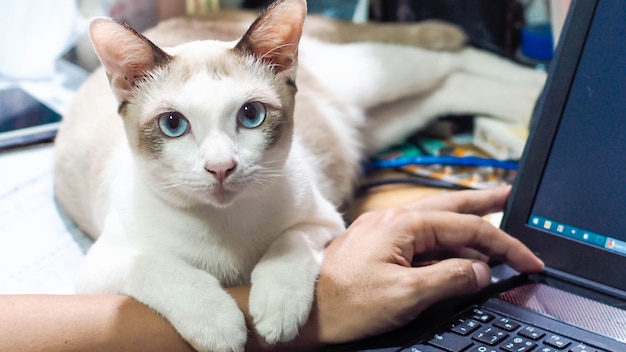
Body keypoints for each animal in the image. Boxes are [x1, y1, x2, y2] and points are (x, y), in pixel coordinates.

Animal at [52, 0, 540, 352]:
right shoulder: (103, 267)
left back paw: (536, 93)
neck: (225, 227)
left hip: (375, 78)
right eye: (174, 124)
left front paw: (275, 311)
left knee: (454, 60)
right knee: (449, 85)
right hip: (388, 119)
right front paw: (221, 325)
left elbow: (286, 247)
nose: (221, 167)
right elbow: (163, 270)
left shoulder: (325, 221)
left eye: (251, 115)